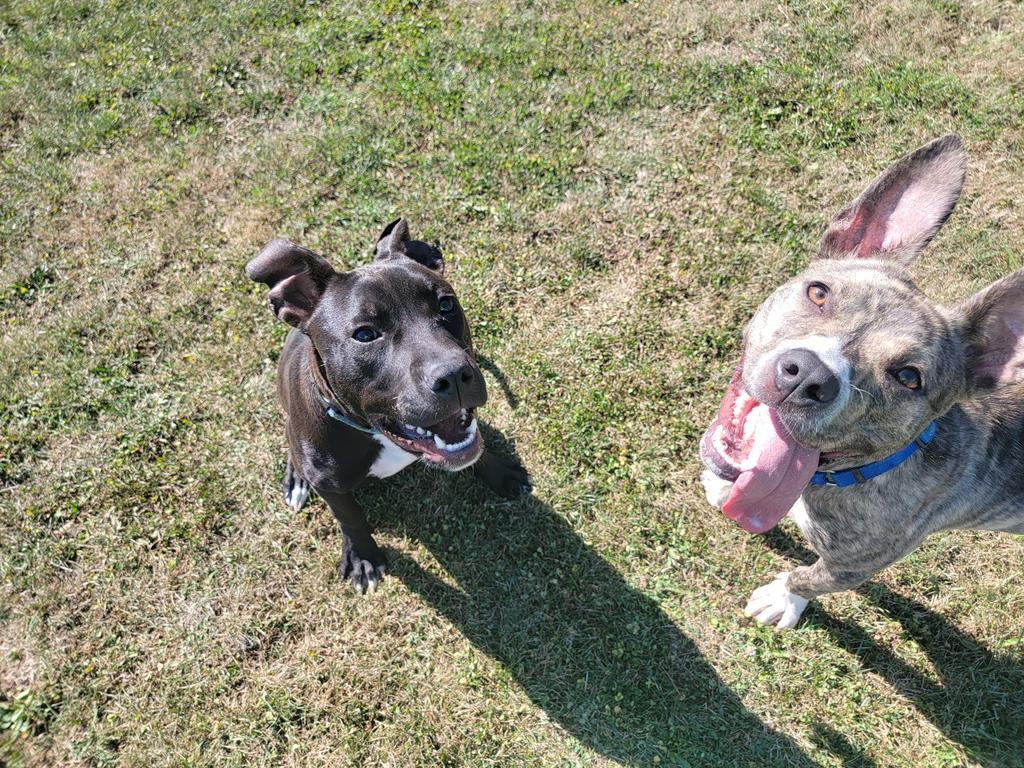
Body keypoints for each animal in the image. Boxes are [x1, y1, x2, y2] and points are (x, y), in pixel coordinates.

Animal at [247, 219, 532, 593]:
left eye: (446, 305)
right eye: (365, 335)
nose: (454, 375)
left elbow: (476, 445)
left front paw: (501, 473)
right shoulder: (331, 486)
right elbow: (350, 516)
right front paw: (363, 557)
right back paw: (296, 479)